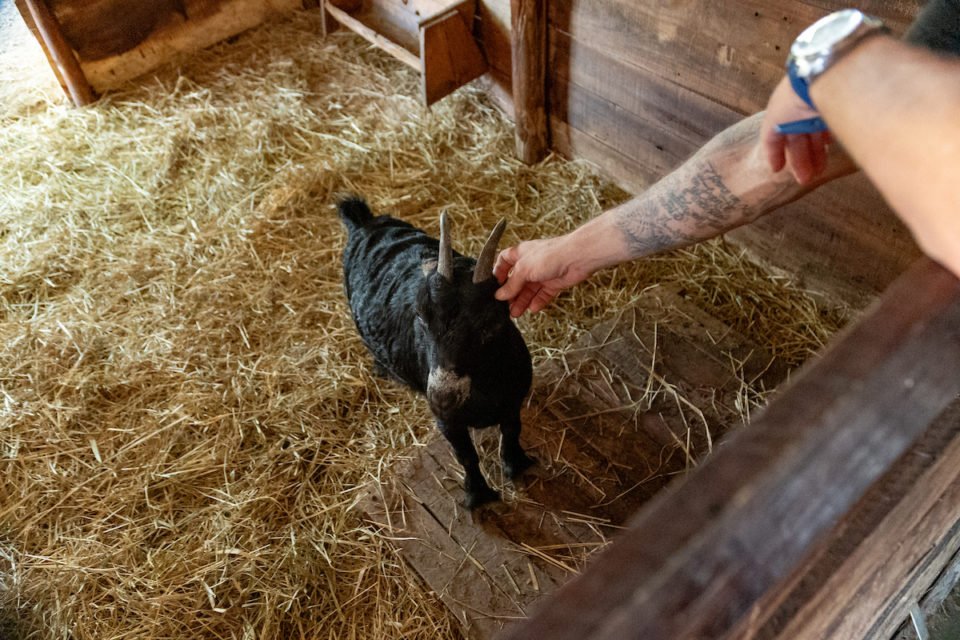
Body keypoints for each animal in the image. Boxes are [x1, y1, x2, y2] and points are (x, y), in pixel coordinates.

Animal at [336, 198, 532, 508]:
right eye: (420, 315)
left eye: (491, 322)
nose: (443, 396)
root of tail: (363, 221)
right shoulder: (447, 421)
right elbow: (466, 455)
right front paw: (478, 494)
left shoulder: (514, 397)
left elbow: (512, 430)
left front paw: (517, 464)